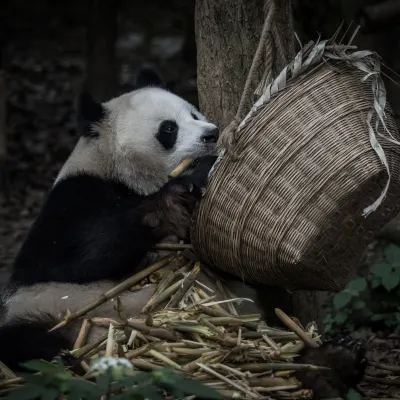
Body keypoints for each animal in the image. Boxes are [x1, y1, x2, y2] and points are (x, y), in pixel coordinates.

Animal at [0, 69, 368, 400]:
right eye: (168, 128)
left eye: (193, 113)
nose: (212, 134)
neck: (127, 176)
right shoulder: (74, 197)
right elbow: (68, 256)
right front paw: (173, 200)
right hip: (47, 312)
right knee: (29, 345)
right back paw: (80, 369)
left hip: (255, 327)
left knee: (279, 342)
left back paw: (331, 363)